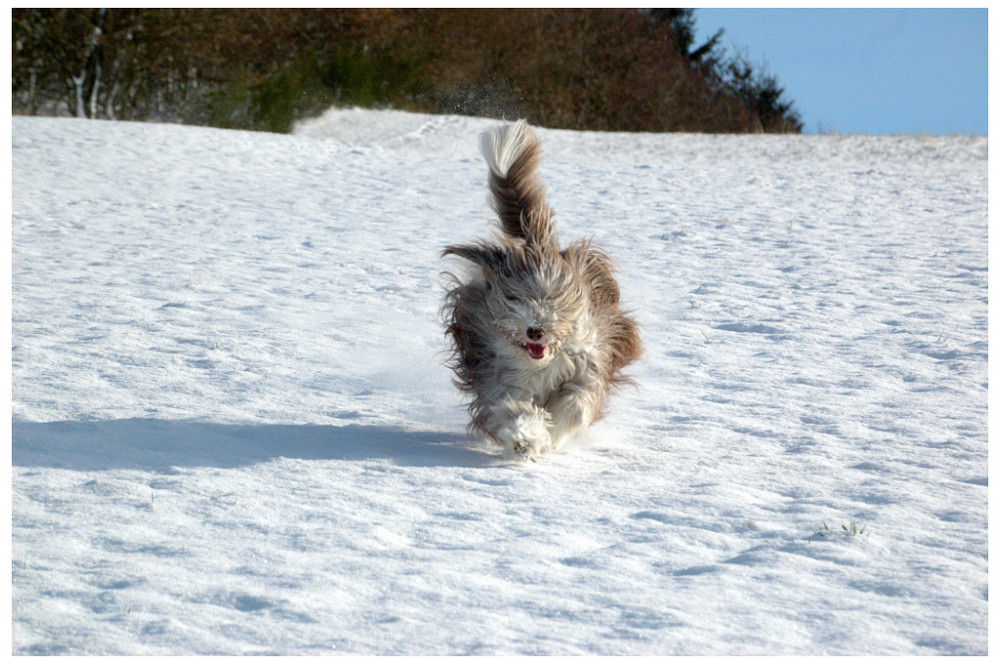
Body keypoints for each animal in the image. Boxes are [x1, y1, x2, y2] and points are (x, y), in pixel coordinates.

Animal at [444, 119, 640, 460]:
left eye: (552, 297)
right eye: (515, 298)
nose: (535, 329)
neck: (543, 362)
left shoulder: (589, 361)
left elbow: (577, 403)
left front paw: (554, 432)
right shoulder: (498, 373)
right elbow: (512, 407)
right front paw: (525, 439)